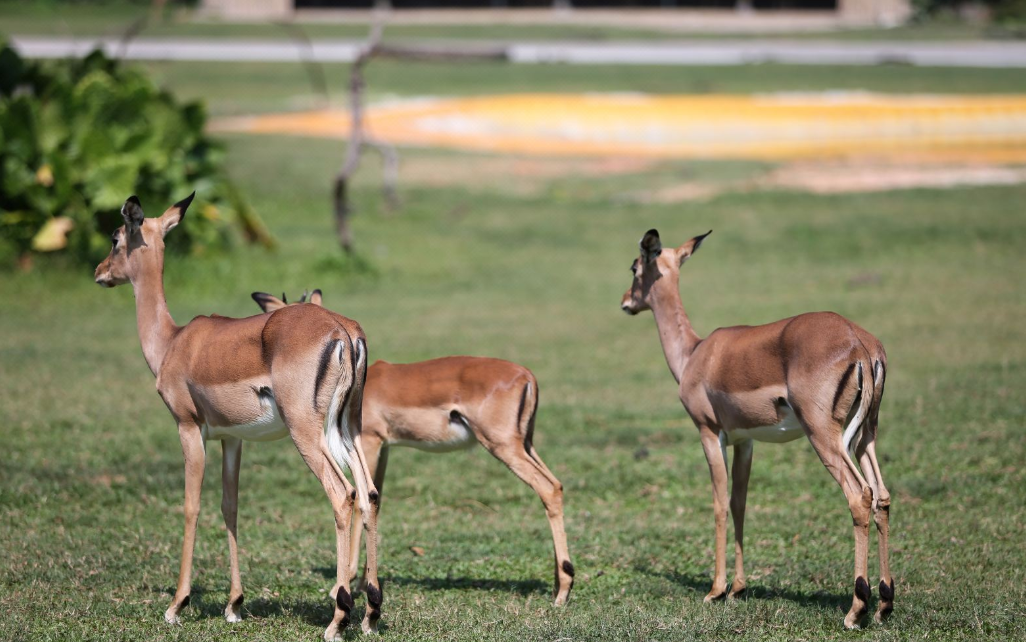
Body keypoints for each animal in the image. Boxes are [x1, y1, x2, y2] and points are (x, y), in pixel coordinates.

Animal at [94, 193, 385, 635]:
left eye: (115, 238)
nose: (100, 272)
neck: (173, 342)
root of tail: (342, 331)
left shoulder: (188, 427)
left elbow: (191, 505)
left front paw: (177, 605)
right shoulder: (232, 438)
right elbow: (229, 506)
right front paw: (234, 604)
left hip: (307, 433)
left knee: (342, 495)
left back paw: (337, 619)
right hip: (345, 429)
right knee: (368, 494)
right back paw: (369, 613)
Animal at [251, 289, 574, 603]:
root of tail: (527, 375)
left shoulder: (370, 441)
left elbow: (362, 502)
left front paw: (345, 585)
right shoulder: (384, 448)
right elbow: (376, 498)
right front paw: (365, 584)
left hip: (503, 445)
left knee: (547, 488)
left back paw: (562, 592)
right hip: (525, 444)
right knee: (556, 485)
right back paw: (558, 585)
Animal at [619, 228, 894, 623]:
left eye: (635, 266)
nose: (626, 301)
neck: (694, 354)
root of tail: (860, 345)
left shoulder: (709, 433)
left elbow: (719, 502)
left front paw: (716, 590)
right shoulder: (744, 441)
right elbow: (740, 503)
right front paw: (737, 588)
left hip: (825, 436)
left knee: (860, 496)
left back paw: (856, 610)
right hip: (865, 435)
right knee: (882, 497)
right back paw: (884, 604)